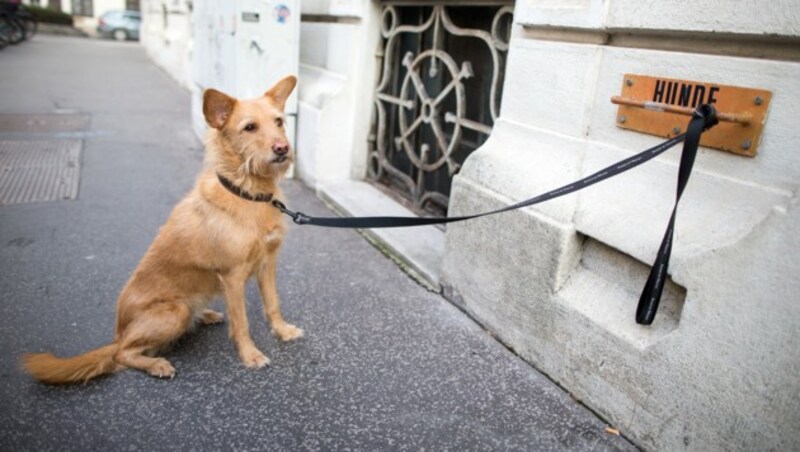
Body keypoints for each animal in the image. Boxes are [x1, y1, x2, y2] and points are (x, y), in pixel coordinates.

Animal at [23, 76, 304, 384]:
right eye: (250, 127)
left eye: (279, 121)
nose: (283, 148)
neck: (247, 193)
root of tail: (118, 332)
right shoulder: (233, 277)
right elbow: (241, 322)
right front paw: (250, 355)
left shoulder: (267, 264)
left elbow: (273, 303)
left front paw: (283, 330)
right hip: (174, 311)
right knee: (122, 355)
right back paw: (156, 364)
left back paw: (204, 315)